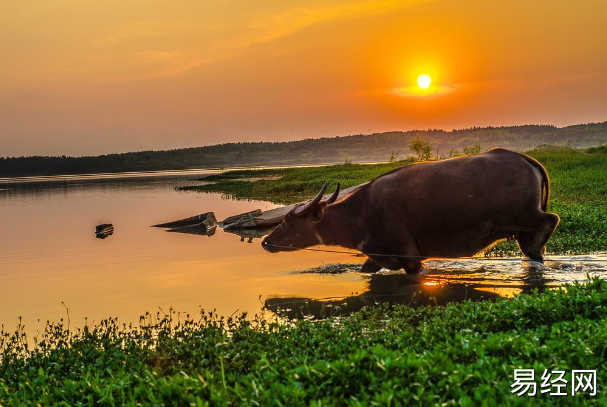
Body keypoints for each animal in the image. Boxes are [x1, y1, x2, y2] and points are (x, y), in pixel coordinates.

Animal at [262, 148, 560, 276]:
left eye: (287, 219)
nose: (266, 241)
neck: (360, 214)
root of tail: (525, 159)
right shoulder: (377, 256)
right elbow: (366, 269)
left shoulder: (410, 258)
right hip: (520, 227)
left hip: (524, 215)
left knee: (551, 220)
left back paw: (536, 250)